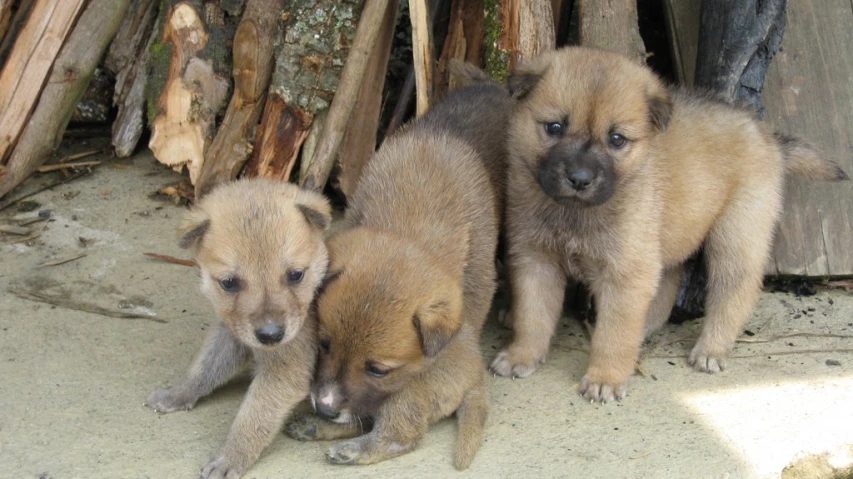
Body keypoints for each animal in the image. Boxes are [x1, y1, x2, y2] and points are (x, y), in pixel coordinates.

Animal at [145, 178, 332, 478]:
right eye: (229, 283)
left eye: (295, 275)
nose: (271, 335)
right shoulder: (232, 333)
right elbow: (204, 368)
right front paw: (178, 394)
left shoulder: (285, 369)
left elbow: (253, 417)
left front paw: (230, 457)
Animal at [286, 64, 512, 472]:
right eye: (324, 343)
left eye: (378, 368)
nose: (325, 408)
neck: (411, 215)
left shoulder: (477, 277)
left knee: (399, 434)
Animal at [490, 46, 848, 404]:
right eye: (554, 127)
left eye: (617, 139)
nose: (579, 179)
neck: (576, 213)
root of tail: (767, 136)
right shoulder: (536, 260)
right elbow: (532, 316)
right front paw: (522, 355)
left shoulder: (627, 274)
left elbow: (614, 334)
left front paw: (606, 377)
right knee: (667, 286)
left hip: (736, 236)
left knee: (735, 291)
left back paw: (711, 348)